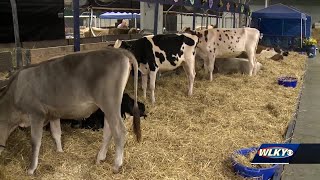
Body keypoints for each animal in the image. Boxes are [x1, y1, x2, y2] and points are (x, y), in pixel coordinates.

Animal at [0, 47, 141, 175]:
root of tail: (119, 51)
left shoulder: (36, 114)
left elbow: (35, 141)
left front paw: (31, 169)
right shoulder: (53, 113)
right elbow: (56, 132)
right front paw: (60, 151)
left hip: (110, 103)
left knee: (120, 132)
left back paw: (116, 166)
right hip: (107, 108)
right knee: (108, 131)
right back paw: (100, 158)